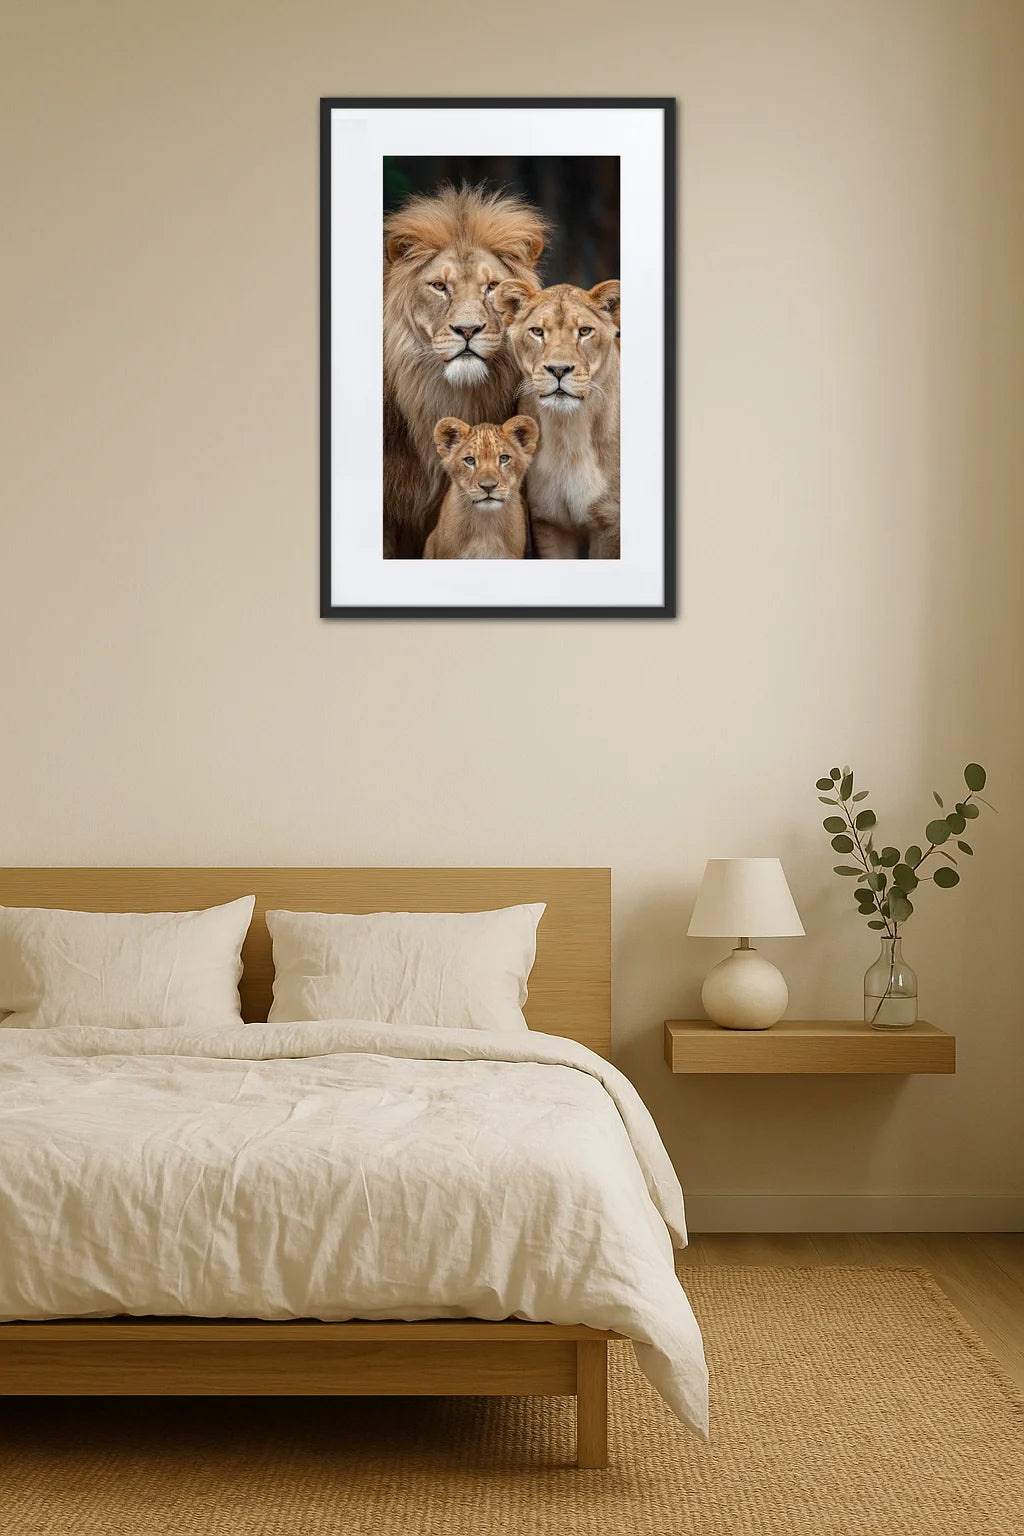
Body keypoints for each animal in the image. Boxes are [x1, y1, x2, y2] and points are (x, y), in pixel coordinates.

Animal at [493, 279, 621, 560]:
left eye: (584, 331)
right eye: (537, 331)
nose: (559, 369)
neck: (567, 431)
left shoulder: (608, 523)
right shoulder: (548, 522)